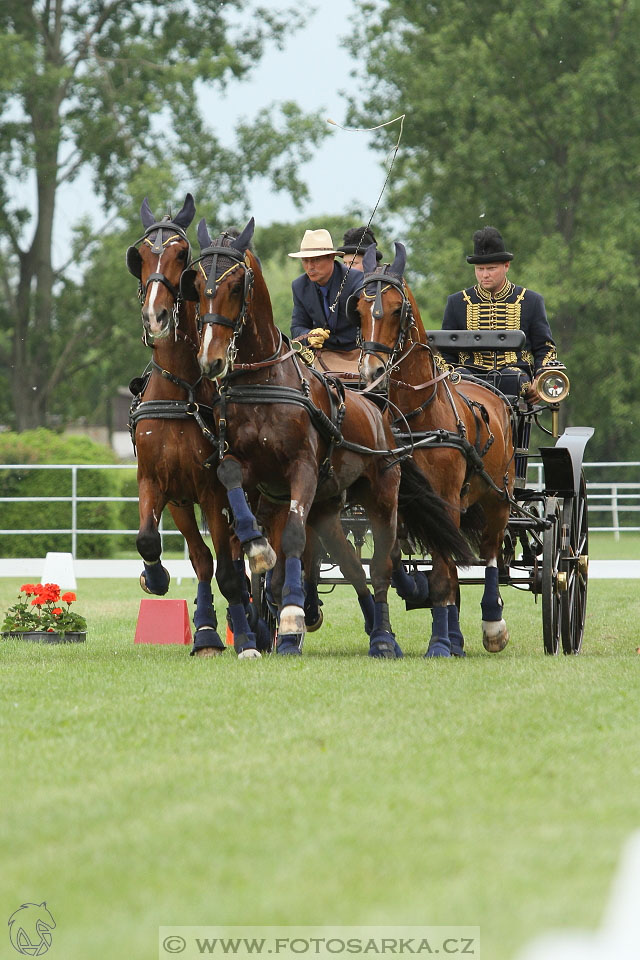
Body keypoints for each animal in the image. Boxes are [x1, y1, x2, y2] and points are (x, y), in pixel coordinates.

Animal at [127, 195, 272, 660]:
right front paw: (201, 629)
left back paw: (254, 621)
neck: (181, 388)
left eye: (180, 255)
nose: (155, 316)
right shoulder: (160, 484)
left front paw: (242, 636)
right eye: (141, 256)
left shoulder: (213, 490)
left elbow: (227, 567)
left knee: (242, 555)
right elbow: (158, 544)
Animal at [182, 218, 472, 656]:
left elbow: (294, 539)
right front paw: (257, 548)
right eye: (197, 284)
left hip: (382, 497)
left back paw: (384, 637)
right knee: (351, 564)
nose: (210, 360)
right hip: (329, 505)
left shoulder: (302, 469)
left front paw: (291, 617)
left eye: (236, 286)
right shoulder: (247, 471)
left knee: (383, 566)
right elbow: (237, 496)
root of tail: (381, 415)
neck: (264, 383)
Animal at [352, 244, 516, 656]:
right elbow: (391, 561)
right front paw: (412, 597)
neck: (416, 416)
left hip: (497, 498)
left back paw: (491, 624)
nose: (372, 372)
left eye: (397, 309)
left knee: (490, 553)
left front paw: (439, 642)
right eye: (358, 310)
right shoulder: (396, 496)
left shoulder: (445, 498)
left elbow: (444, 570)